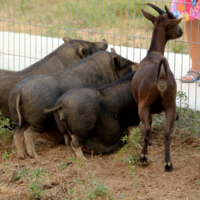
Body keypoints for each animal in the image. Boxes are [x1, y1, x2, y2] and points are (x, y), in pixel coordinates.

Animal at [131, 3, 183, 172]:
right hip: (170, 105)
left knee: (147, 128)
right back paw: (168, 164)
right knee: (168, 132)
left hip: (144, 105)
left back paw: (143, 157)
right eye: (173, 22)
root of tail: (161, 77)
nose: (181, 31)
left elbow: (149, 123)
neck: (153, 53)